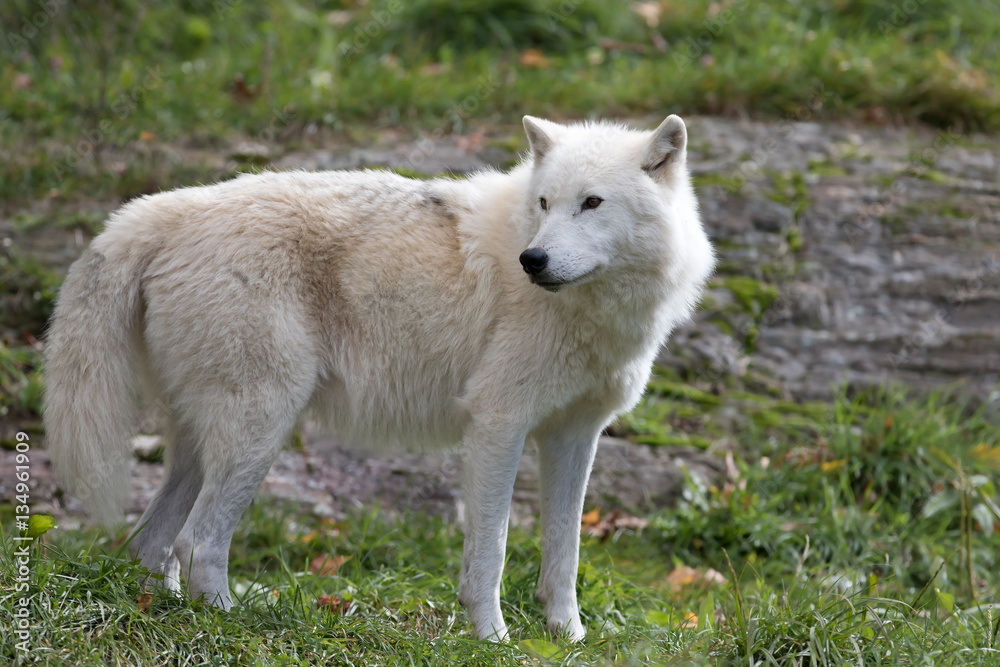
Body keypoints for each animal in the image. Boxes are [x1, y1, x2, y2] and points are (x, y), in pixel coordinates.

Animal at [43, 115, 714, 641]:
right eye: (546, 204)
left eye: (592, 203)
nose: (533, 260)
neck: (590, 312)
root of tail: (160, 210)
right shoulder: (497, 426)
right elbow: (492, 551)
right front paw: (492, 640)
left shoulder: (575, 437)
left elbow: (565, 554)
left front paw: (568, 637)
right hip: (260, 431)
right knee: (197, 542)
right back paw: (237, 621)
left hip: (202, 446)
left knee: (149, 545)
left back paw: (167, 611)